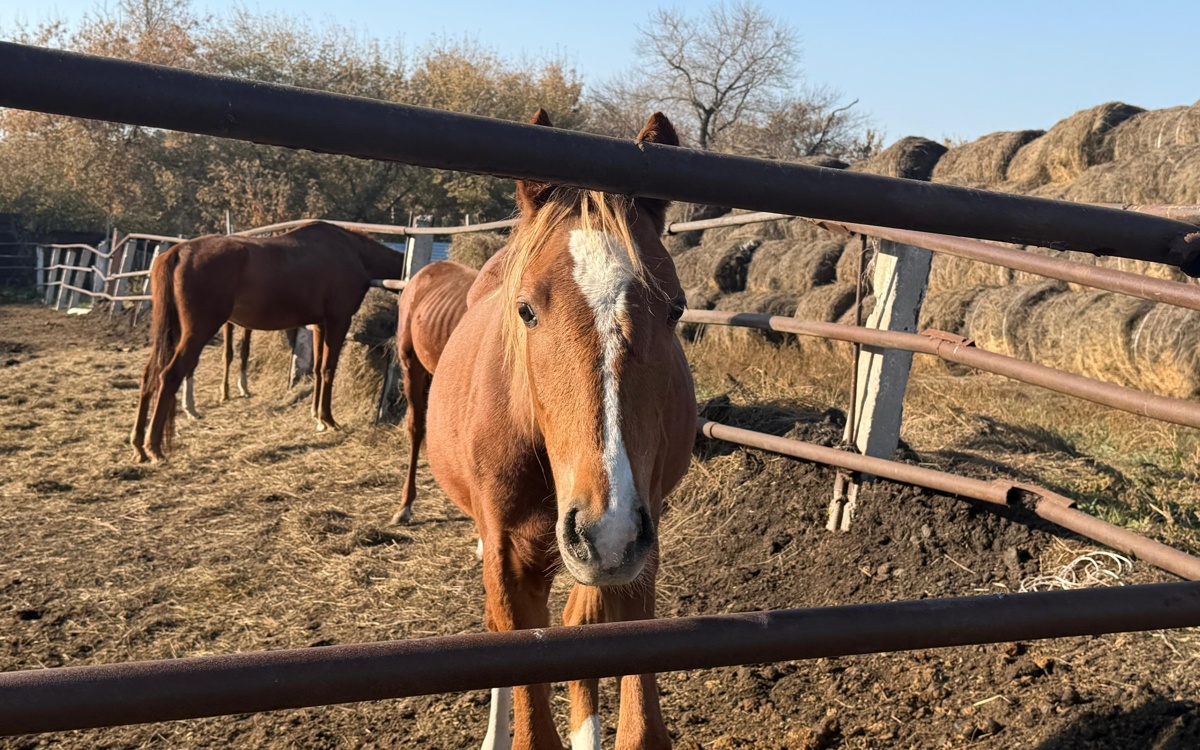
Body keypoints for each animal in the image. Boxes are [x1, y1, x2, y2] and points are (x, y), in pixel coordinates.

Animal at [130, 221, 407, 462]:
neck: (354, 253)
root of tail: (177, 252)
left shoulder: (320, 325)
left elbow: (318, 370)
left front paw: (316, 416)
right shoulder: (338, 322)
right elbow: (329, 369)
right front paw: (328, 420)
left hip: (173, 332)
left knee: (149, 374)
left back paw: (139, 446)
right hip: (197, 332)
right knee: (169, 375)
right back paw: (154, 447)